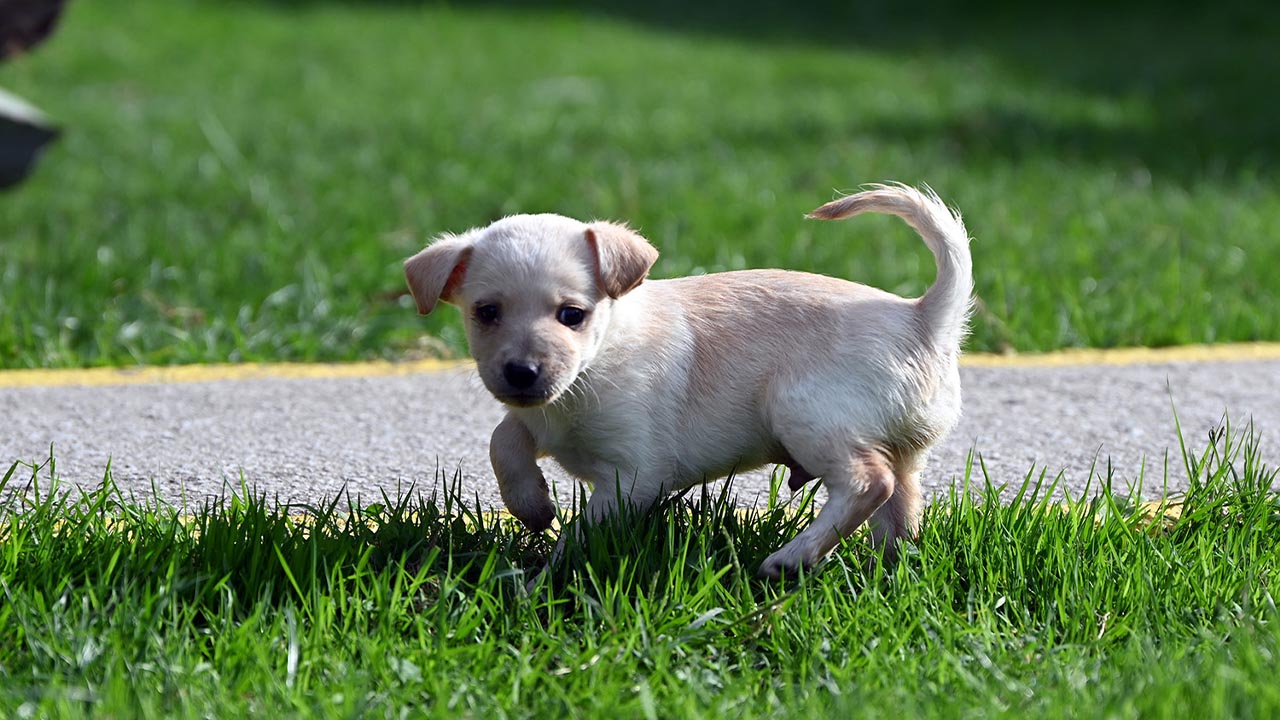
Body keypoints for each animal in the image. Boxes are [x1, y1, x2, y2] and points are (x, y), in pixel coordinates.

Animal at [404, 184, 972, 576]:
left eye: (572, 315)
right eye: (485, 313)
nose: (521, 373)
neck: (593, 370)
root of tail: (924, 316)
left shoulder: (633, 477)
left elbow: (584, 531)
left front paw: (545, 575)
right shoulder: (539, 419)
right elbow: (503, 440)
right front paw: (533, 506)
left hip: (803, 413)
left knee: (868, 482)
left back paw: (792, 558)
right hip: (901, 450)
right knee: (901, 512)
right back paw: (879, 570)